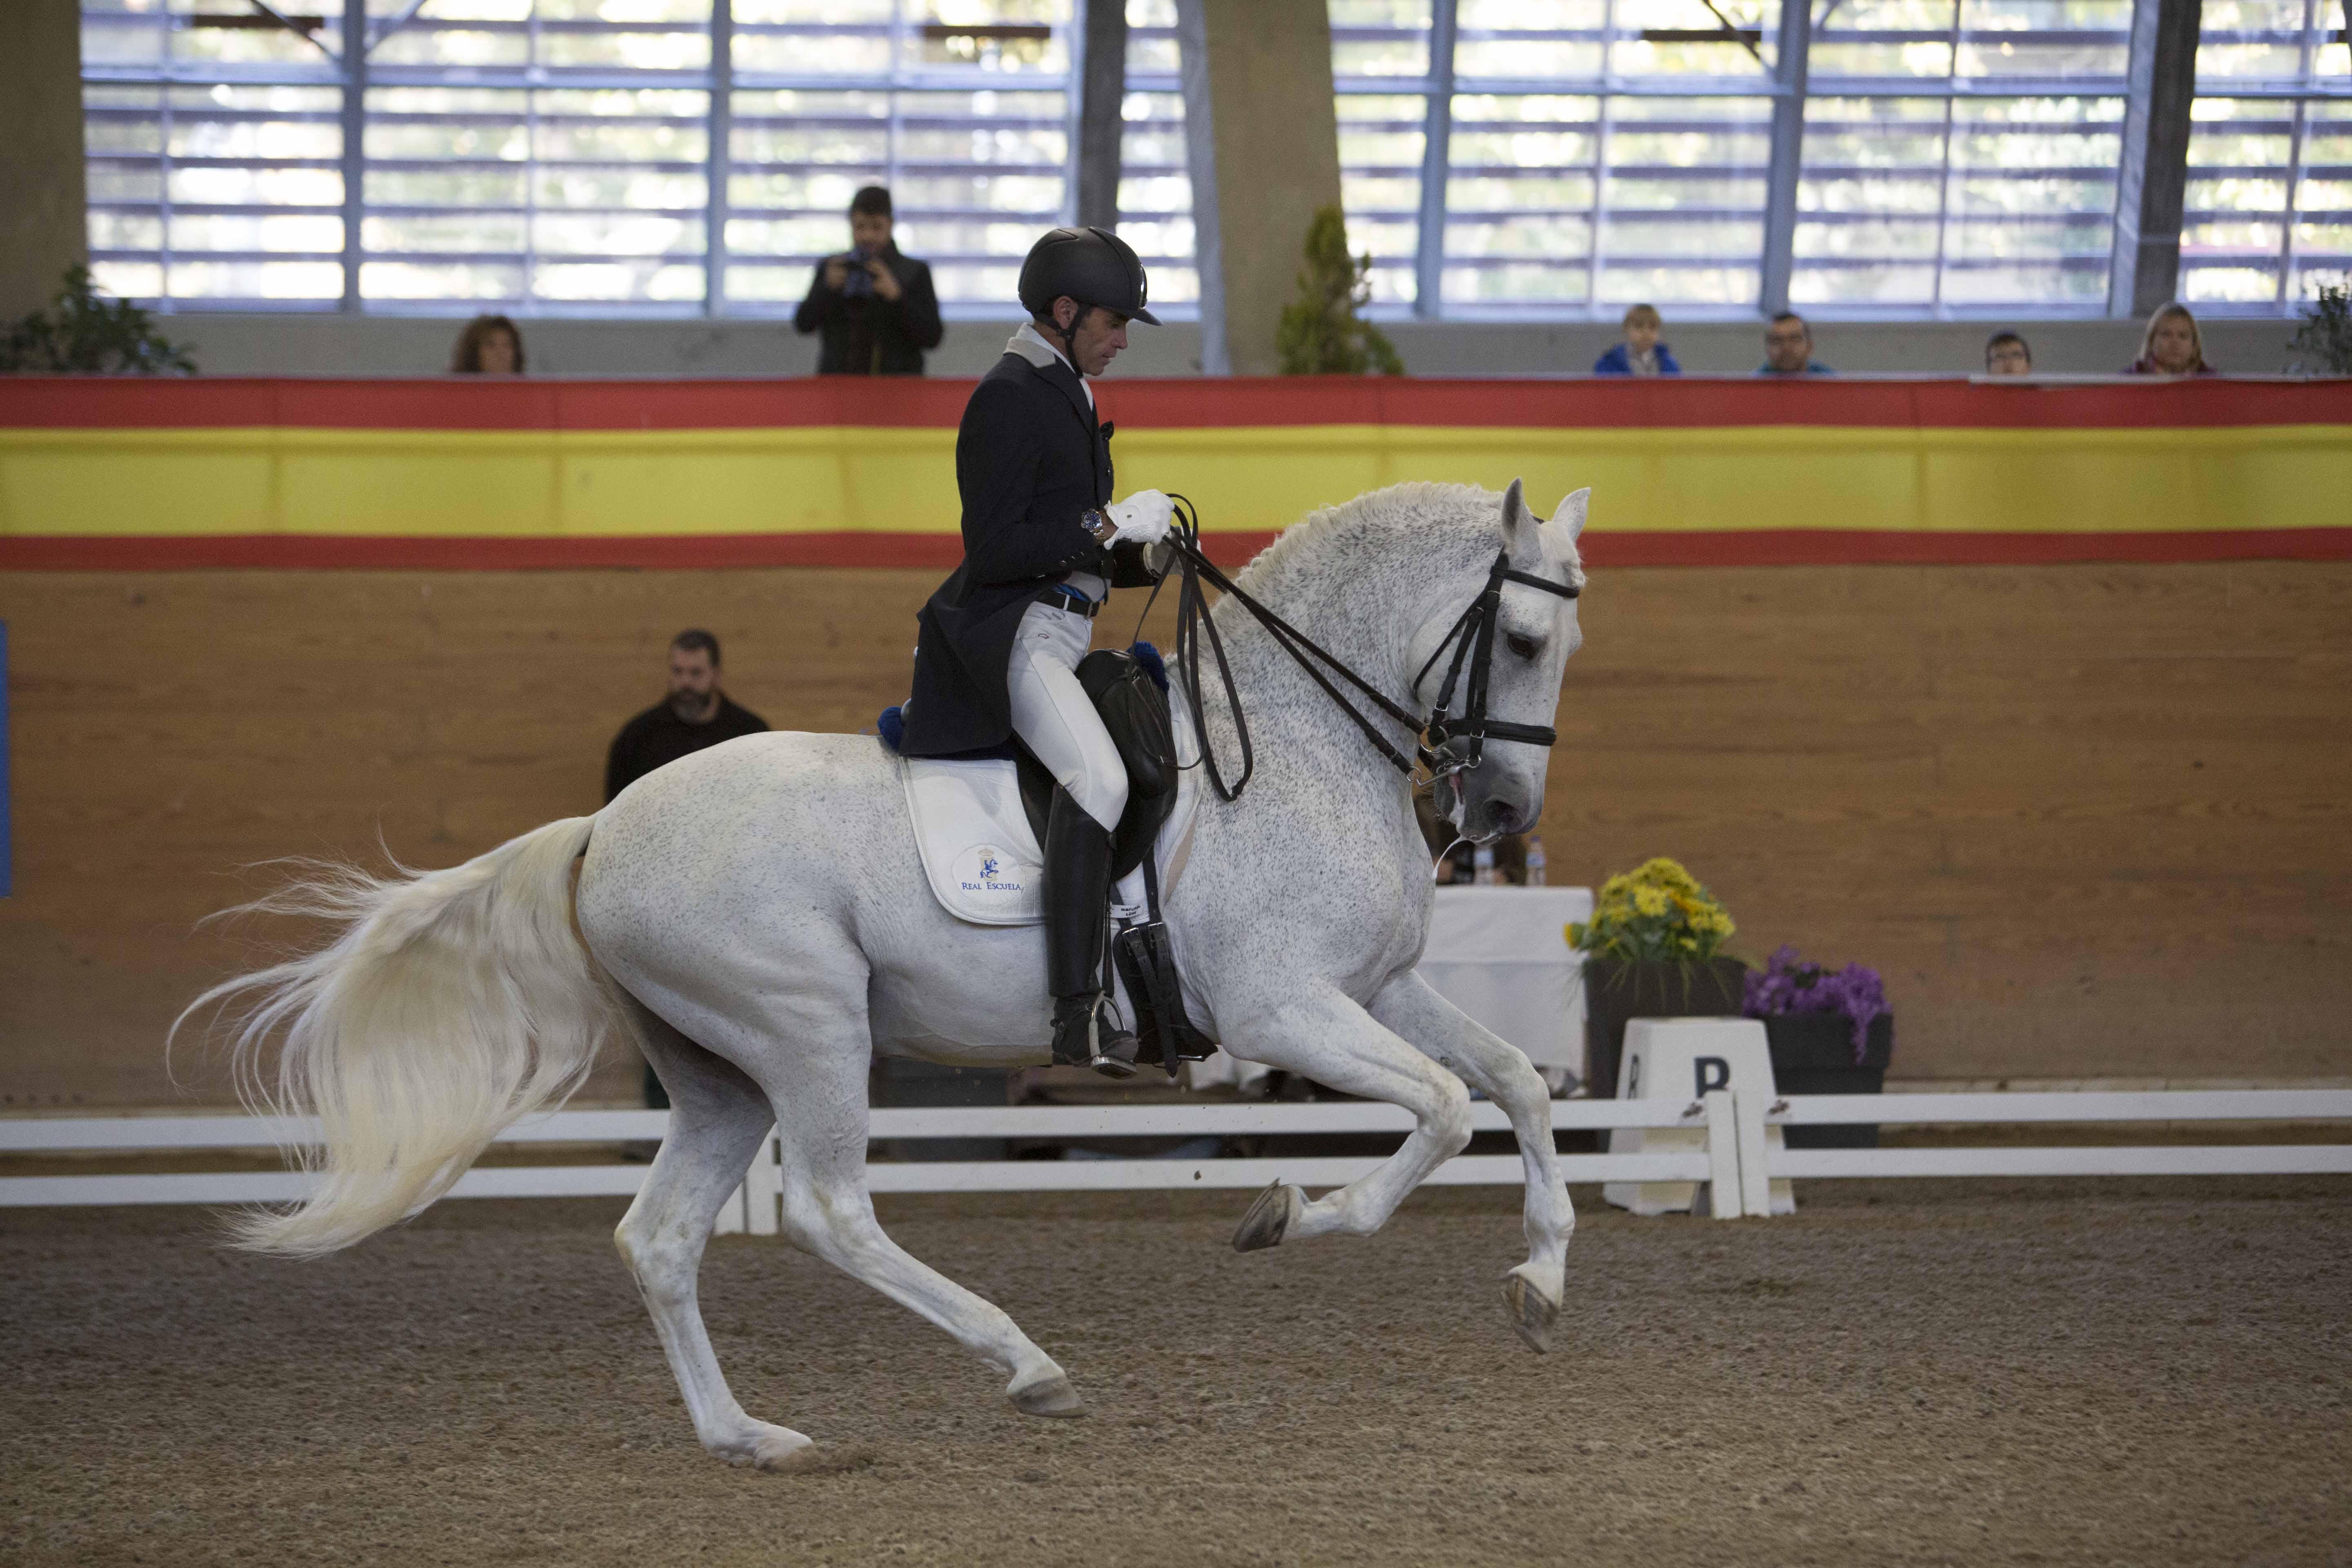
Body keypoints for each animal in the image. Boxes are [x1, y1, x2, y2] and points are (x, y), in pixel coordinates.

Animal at [197, 479, 1599, 1476]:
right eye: (1528, 637)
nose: (1500, 812)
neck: (1302, 742)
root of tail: (604, 828)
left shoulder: (1382, 988)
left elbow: (1517, 1085)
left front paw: (1540, 1286)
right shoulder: (1283, 1009)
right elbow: (1444, 1114)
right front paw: (1293, 1213)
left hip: (722, 1073)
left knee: (661, 1236)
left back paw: (750, 1437)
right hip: (809, 1032)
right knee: (829, 1211)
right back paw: (1022, 1361)